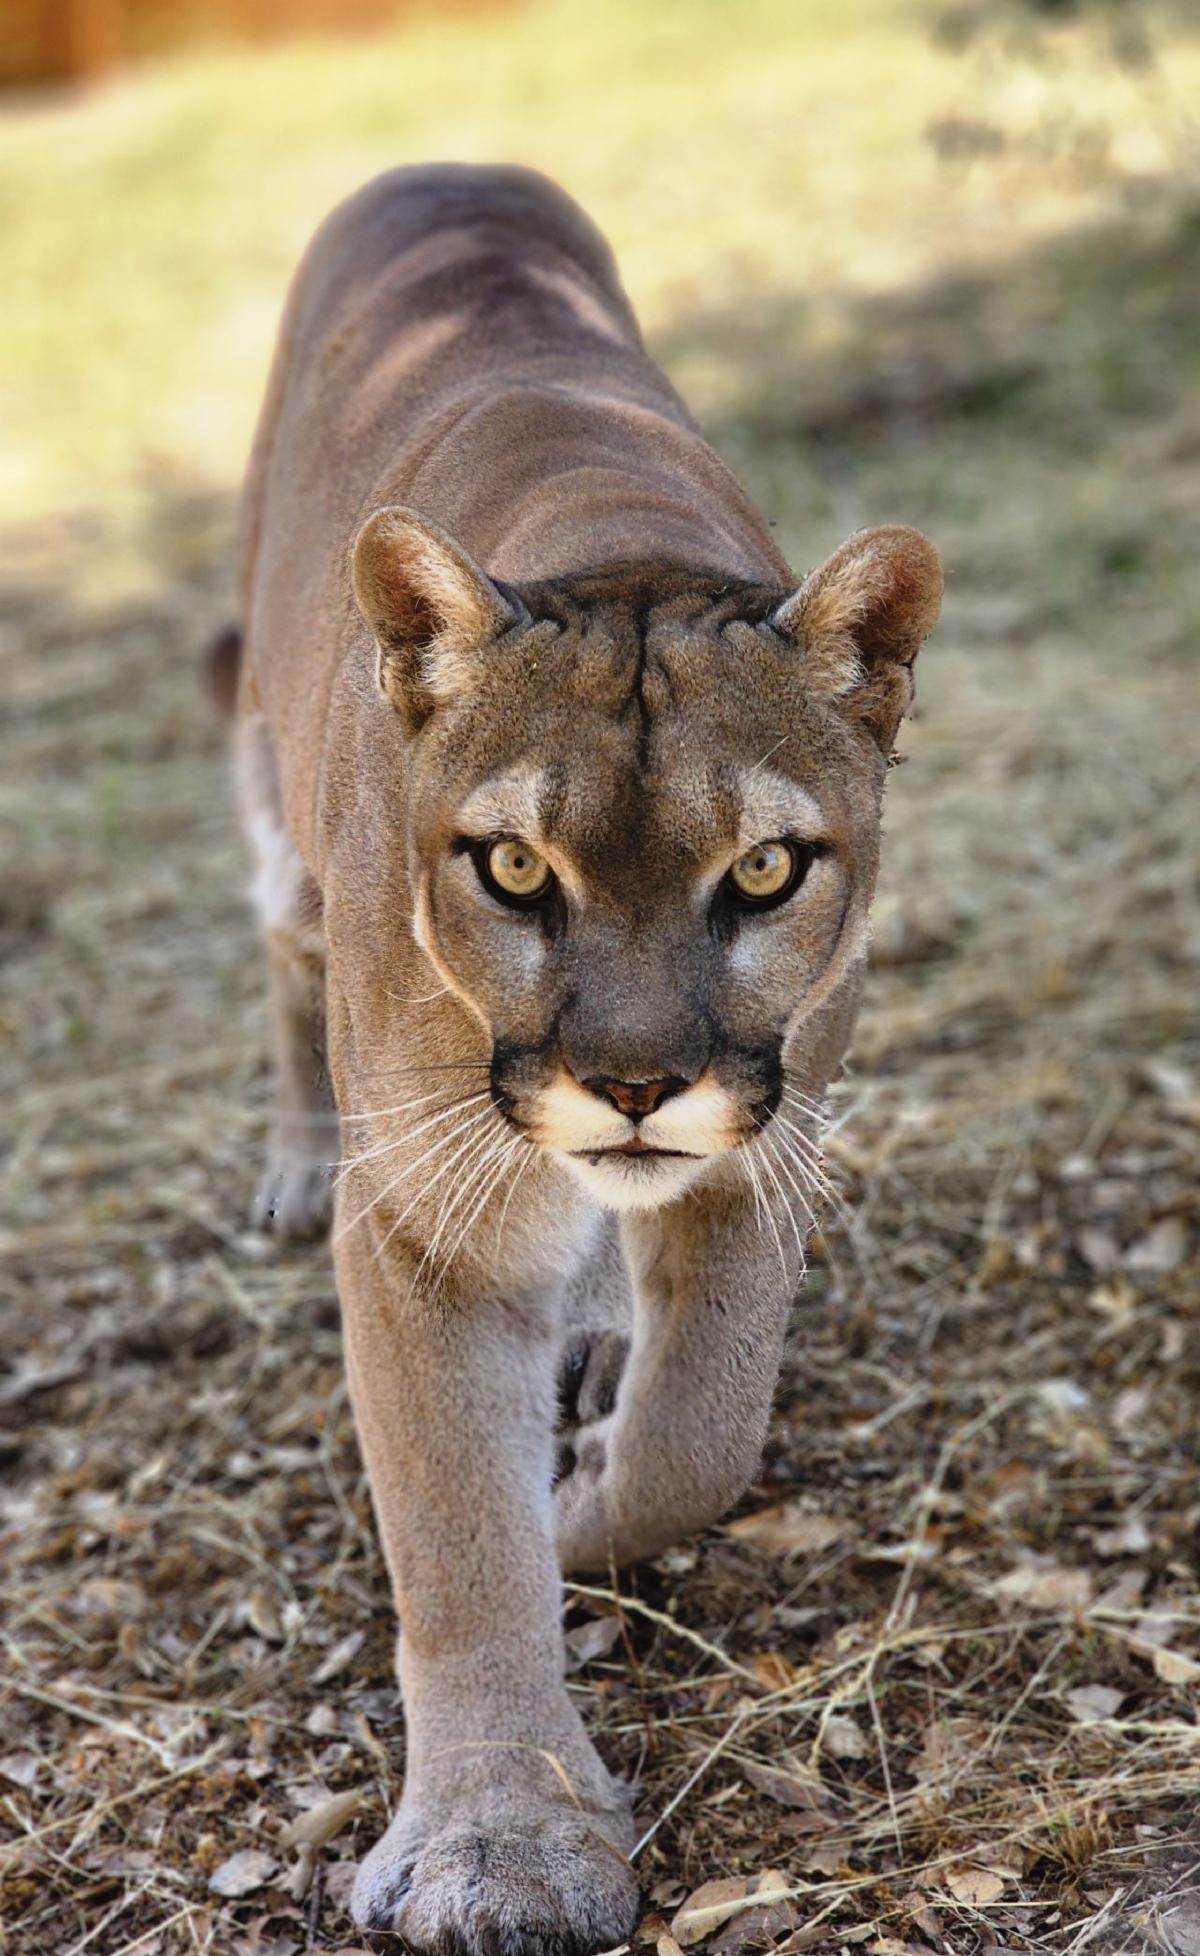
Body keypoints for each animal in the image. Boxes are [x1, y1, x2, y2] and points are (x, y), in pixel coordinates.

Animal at [222, 163, 941, 1955]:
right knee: (278, 961)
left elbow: (704, 1435)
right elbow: (457, 1542)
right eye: (513, 868)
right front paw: (504, 1847)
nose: (630, 1086)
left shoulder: (761, 1151)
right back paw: (289, 1164)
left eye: (764, 869)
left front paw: (593, 1491)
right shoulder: (422, 1218)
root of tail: (445, 165)